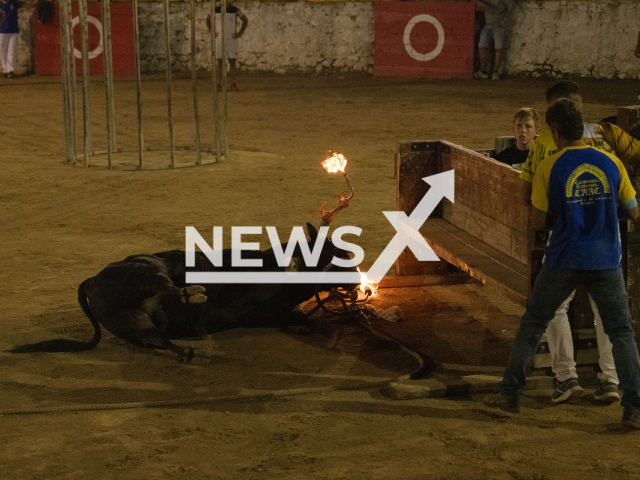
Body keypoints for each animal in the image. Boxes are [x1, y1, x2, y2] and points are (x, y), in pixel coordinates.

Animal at [10, 225, 358, 360]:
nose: (357, 280)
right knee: (168, 288)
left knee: (159, 339)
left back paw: (187, 348)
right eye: (338, 255)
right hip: (149, 270)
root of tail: (92, 279)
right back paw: (193, 296)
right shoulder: (271, 315)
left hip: (135, 324)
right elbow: (308, 320)